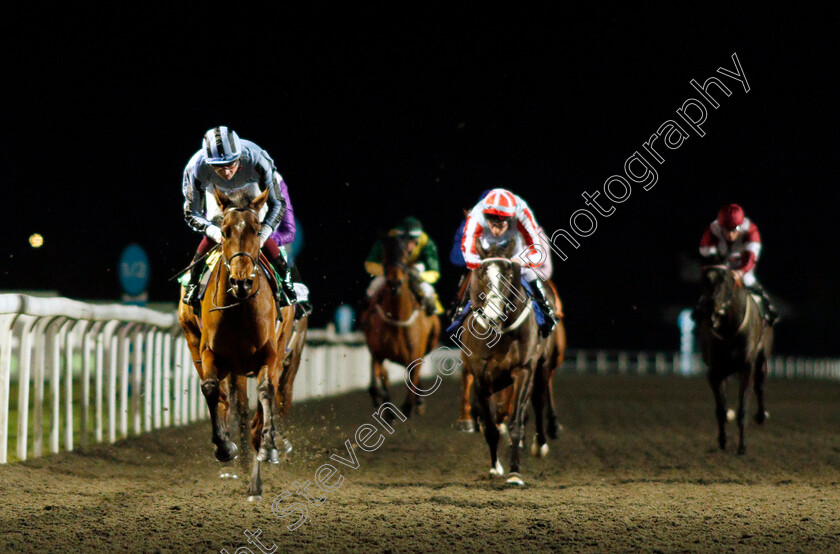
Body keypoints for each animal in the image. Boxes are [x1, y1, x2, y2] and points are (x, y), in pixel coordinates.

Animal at [177, 188, 296, 498]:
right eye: (225, 231)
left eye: (256, 229)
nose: (241, 282)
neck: (240, 308)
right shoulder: (211, 353)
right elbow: (210, 390)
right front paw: (223, 446)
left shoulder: (269, 355)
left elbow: (266, 393)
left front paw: (268, 448)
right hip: (197, 343)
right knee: (223, 399)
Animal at [456, 239, 540, 480]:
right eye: (482, 273)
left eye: (509, 274)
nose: (493, 315)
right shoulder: (481, 378)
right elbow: (490, 427)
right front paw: (495, 467)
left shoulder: (523, 370)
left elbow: (515, 423)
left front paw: (515, 471)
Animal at [696, 264, 776, 452]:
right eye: (703, 282)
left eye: (724, 283)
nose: (707, 311)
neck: (728, 329)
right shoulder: (714, 372)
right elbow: (720, 408)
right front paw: (723, 439)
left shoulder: (747, 368)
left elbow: (742, 407)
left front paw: (742, 446)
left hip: (762, 359)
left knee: (759, 387)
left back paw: (761, 415)